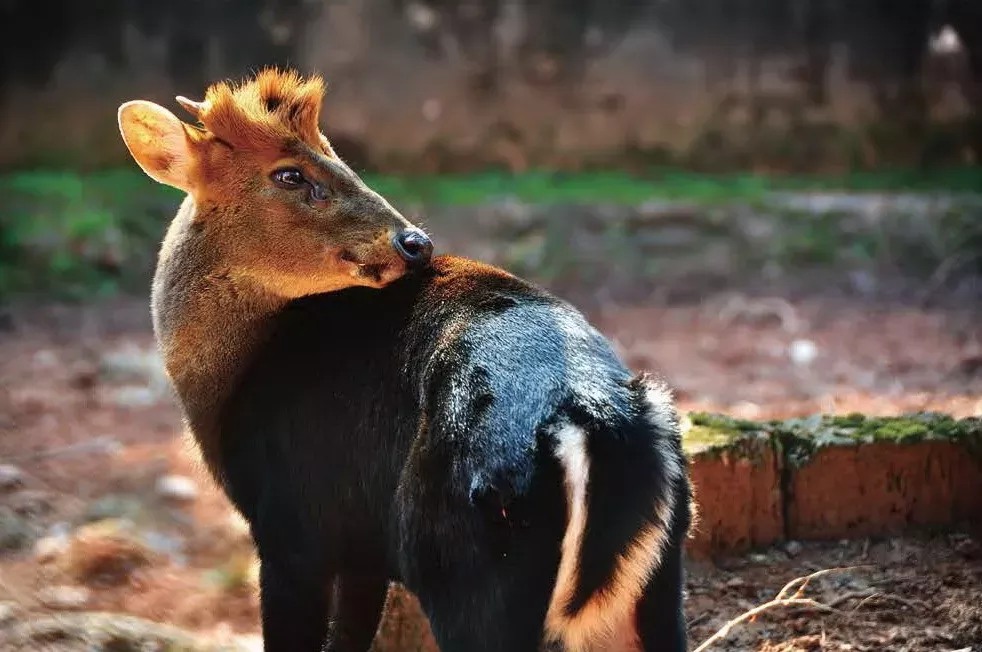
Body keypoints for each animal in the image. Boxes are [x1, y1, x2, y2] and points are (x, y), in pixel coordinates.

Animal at [117, 67, 692, 652]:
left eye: (332, 152)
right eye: (289, 174)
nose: (414, 243)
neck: (228, 383)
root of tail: (588, 420)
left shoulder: (290, 531)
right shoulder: (362, 549)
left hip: (466, 562)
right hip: (659, 577)